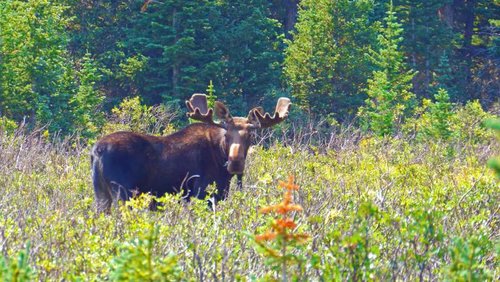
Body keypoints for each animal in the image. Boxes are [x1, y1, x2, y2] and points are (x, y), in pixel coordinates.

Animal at [92, 93, 292, 212]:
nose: (235, 162)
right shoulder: (202, 193)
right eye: (227, 134)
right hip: (123, 192)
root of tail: (97, 151)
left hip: (101, 195)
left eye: (250, 135)